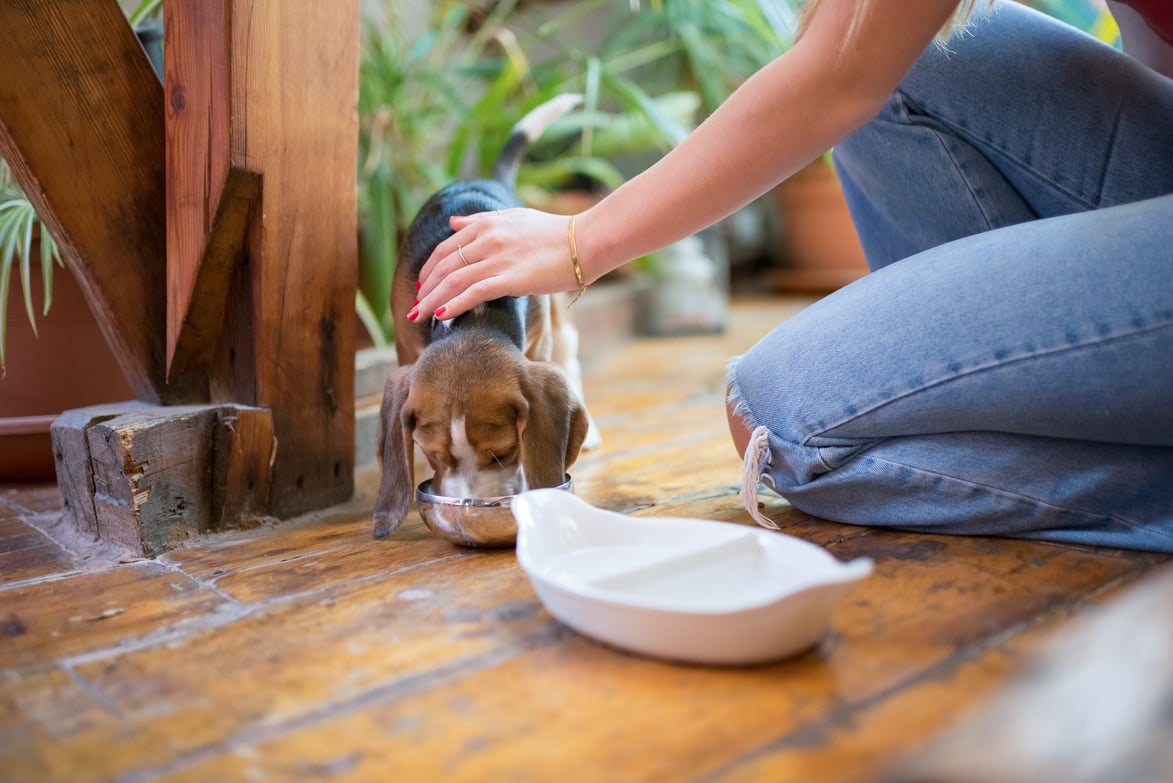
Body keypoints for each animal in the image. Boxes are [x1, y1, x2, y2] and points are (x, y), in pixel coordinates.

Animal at [375, 94, 595, 539]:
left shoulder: (538, 346)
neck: (474, 314)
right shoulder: (407, 345)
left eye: (503, 453)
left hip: (555, 313)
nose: (470, 505)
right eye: (432, 454)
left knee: (570, 355)